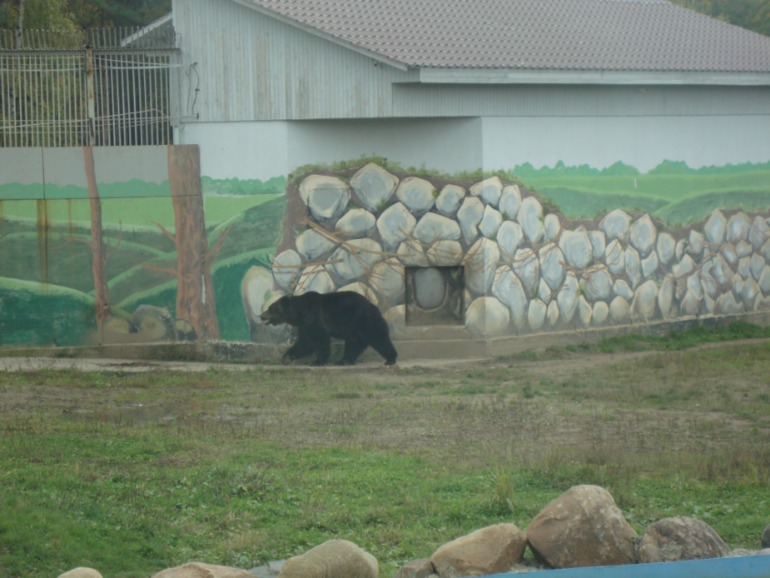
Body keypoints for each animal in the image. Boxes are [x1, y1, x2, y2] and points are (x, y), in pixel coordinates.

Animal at [260, 290, 400, 366]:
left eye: (271, 309)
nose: (261, 316)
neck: (299, 313)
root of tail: (375, 306)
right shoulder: (304, 325)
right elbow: (305, 343)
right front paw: (286, 357)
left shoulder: (313, 317)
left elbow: (319, 339)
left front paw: (318, 361)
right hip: (353, 327)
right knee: (354, 343)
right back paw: (344, 360)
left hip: (363, 319)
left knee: (378, 337)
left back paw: (390, 358)